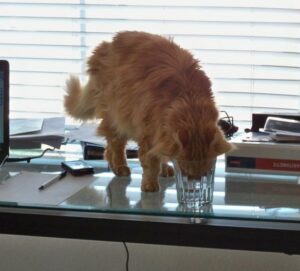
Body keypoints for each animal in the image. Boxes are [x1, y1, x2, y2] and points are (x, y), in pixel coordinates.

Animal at [64, 30, 231, 192]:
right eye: (185, 170)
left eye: (203, 172)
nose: (193, 183)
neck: (189, 101)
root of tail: (103, 47)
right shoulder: (150, 133)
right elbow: (151, 163)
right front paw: (150, 185)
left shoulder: (160, 134)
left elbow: (163, 154)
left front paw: (164, 169)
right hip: (117, 117)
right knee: (116, 146)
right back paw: (120, 167)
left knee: (107, 150)